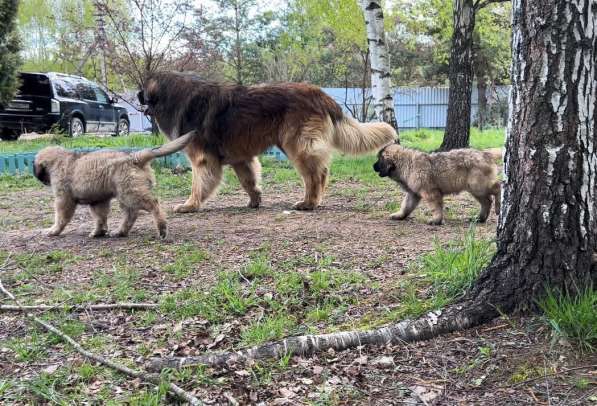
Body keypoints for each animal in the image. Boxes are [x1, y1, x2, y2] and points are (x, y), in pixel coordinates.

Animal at [33, 132, 193, 238]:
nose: (42, 181)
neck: (59, 160)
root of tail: (134, 158)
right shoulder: (98, 201)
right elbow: (100, 217)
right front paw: (99, 232)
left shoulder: (64, 199)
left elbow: (61, 216)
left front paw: (53, 230)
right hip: (125, 194)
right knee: (131, 214)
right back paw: (120, 231)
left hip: (130, 193)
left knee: (153, 204)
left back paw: (162, 228)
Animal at [139, 72, 396, 213]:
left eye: (143, 88)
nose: (138, 95)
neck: (176, 96)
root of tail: (322, 94)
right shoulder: (241, 159)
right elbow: (249, 181)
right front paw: (255, 200)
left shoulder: (203, 159)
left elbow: (198, 185)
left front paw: (190, 205)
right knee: (320, 173)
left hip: (297, 147)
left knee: (315, 176)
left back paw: (308, 202)